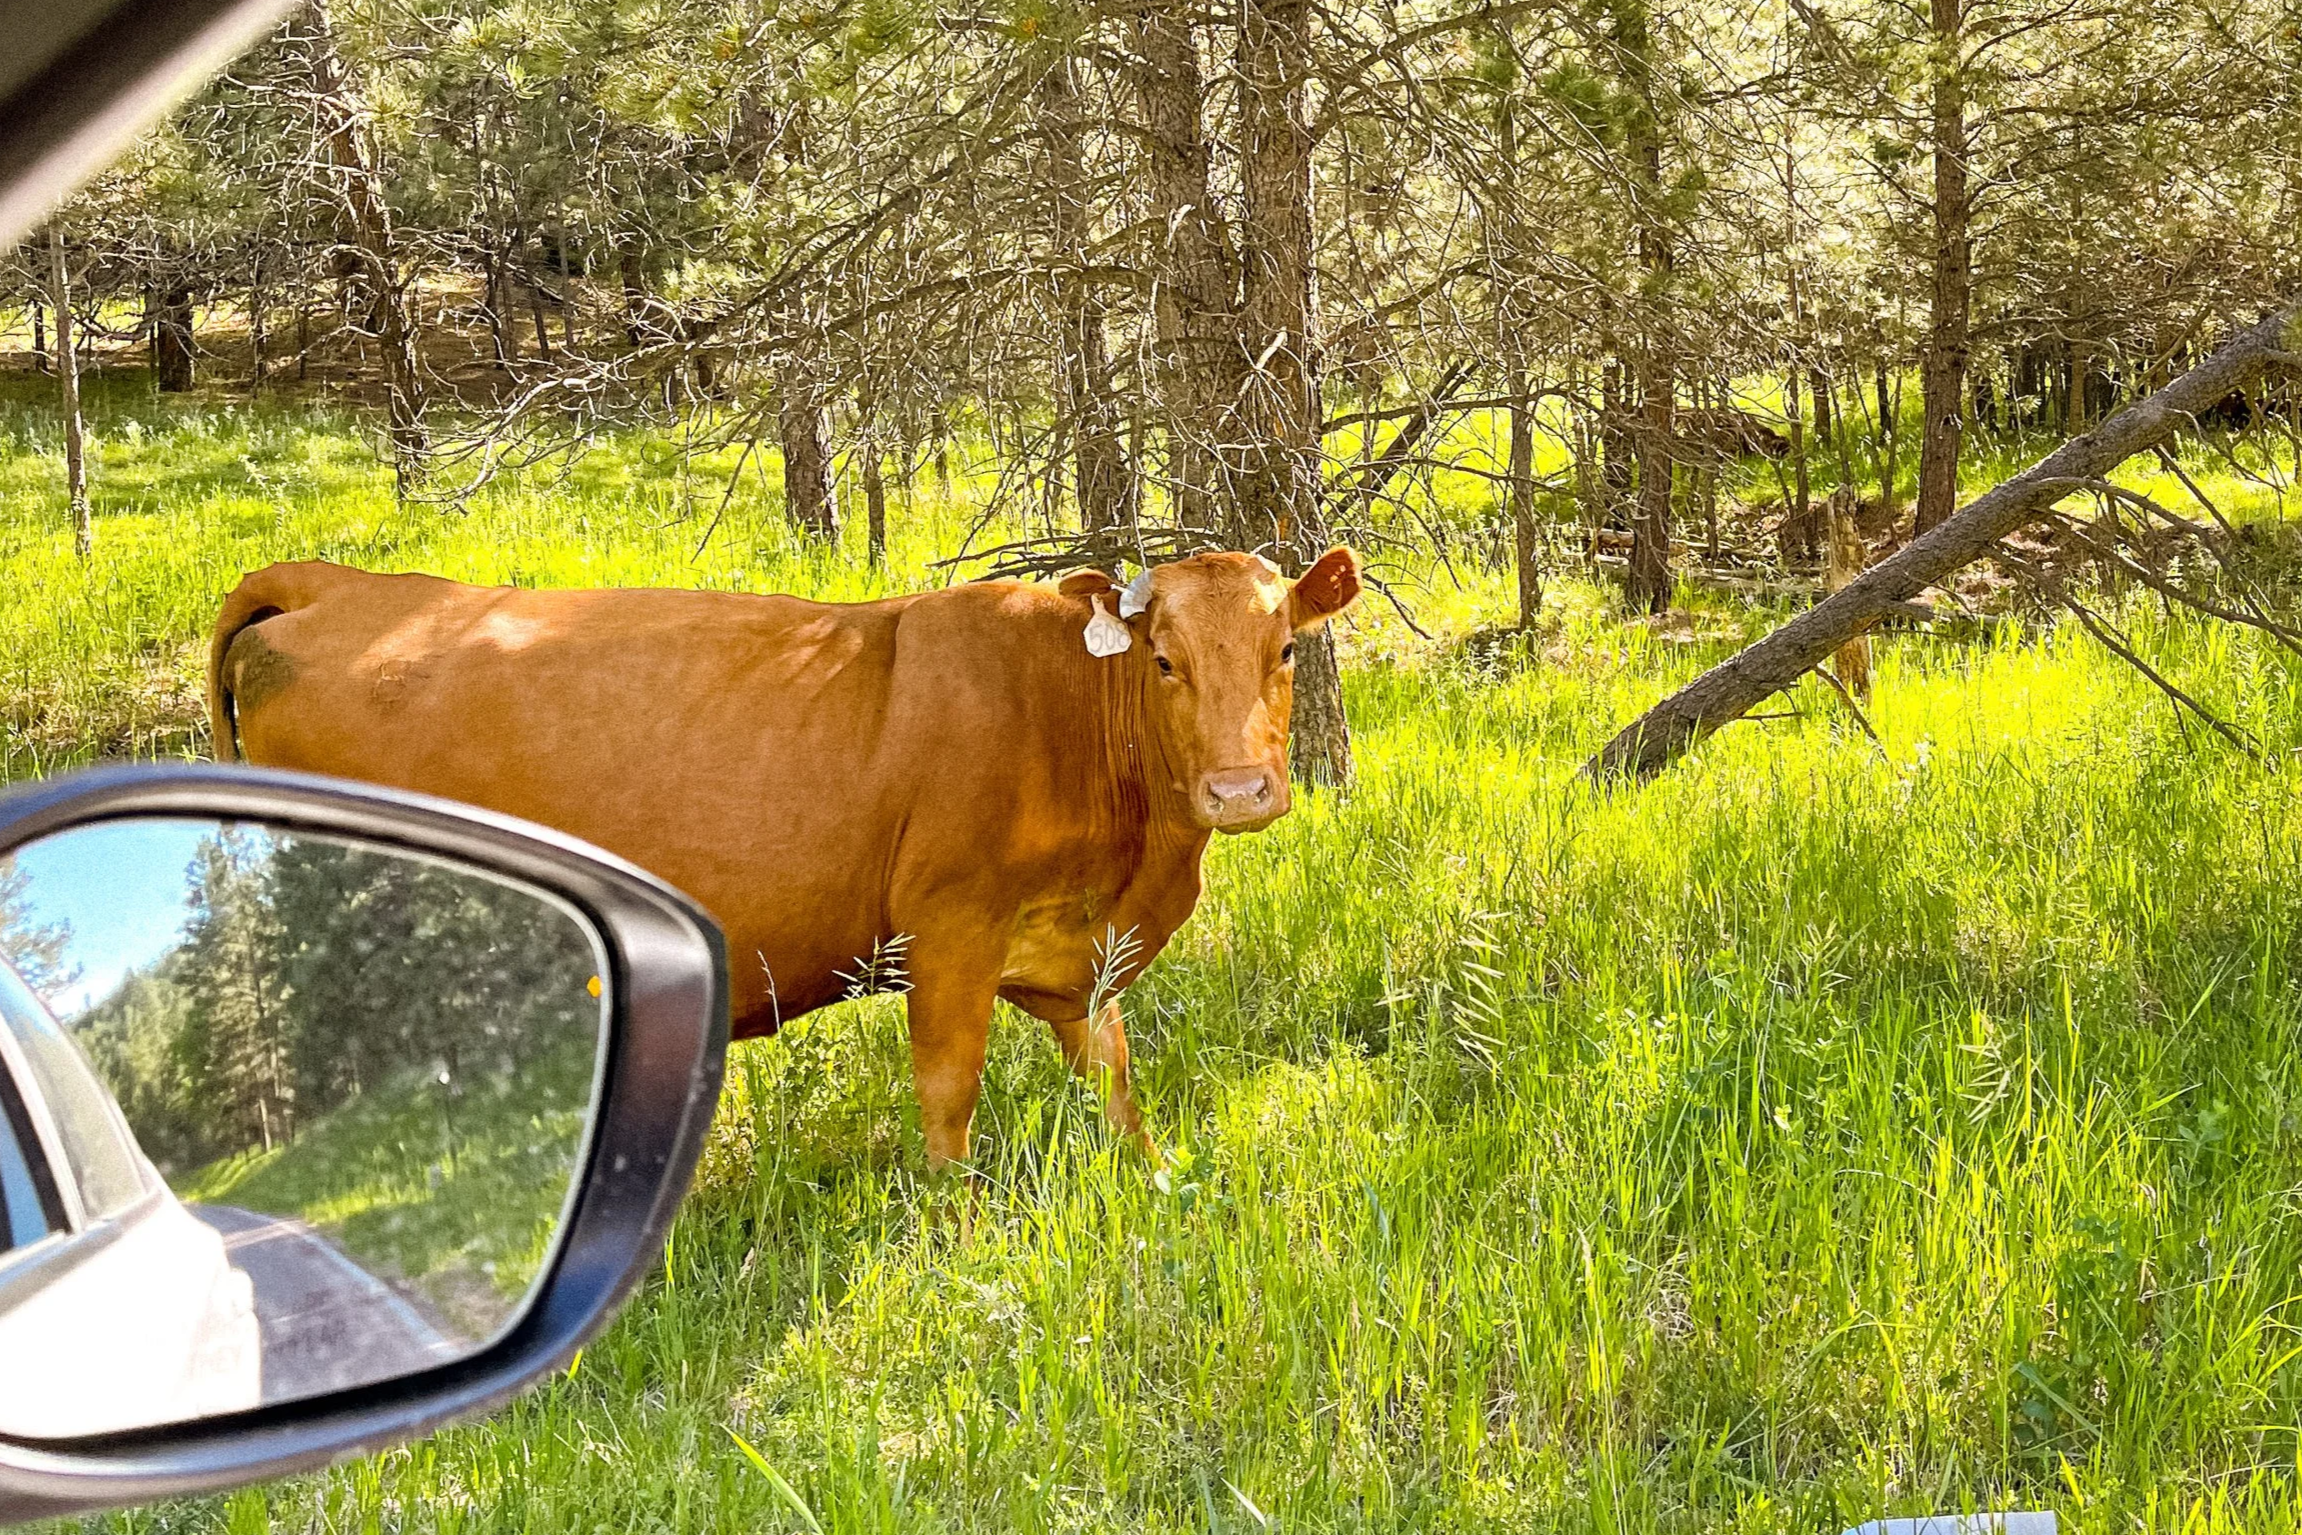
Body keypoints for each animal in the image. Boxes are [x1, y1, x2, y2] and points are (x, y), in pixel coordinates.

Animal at [205, 549, 1362, 1170]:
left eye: (1285, 649)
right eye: (1164, 660)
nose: (1240, 790)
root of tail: (332, 581)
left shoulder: (1072, 948)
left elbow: (1113, 1072)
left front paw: (1159, 1177)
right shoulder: (950, 926)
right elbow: (949, 1086)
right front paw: (959, 1224)